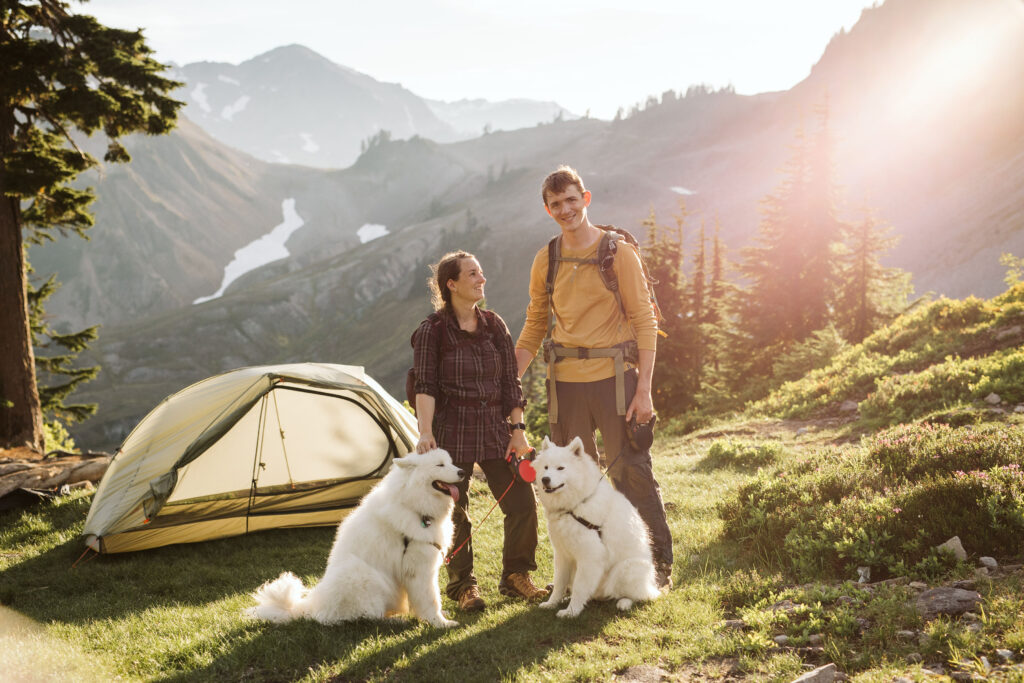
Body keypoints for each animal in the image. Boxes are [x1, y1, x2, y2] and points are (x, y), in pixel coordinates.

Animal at [249, 448, 466, 630]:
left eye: (451, 462)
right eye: (440, 465)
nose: (463, 472)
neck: (414, 505)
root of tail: (311, 609)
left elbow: (426, 599)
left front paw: (438, 616)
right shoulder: (419, 568)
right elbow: (431, 598)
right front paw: (440, 623)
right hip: (362, 574)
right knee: (365, 618)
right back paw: (396, 621)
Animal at [532, 438, 659, 618]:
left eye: (561, 468)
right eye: (546, 467)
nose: (545, 479)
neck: (575, 505)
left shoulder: (589, 556)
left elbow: (579, 587)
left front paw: (571, 612)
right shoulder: (562, 554)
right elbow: (559, 583)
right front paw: (552, 604)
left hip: (626, 568)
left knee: (639, 595)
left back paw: (624, 602)